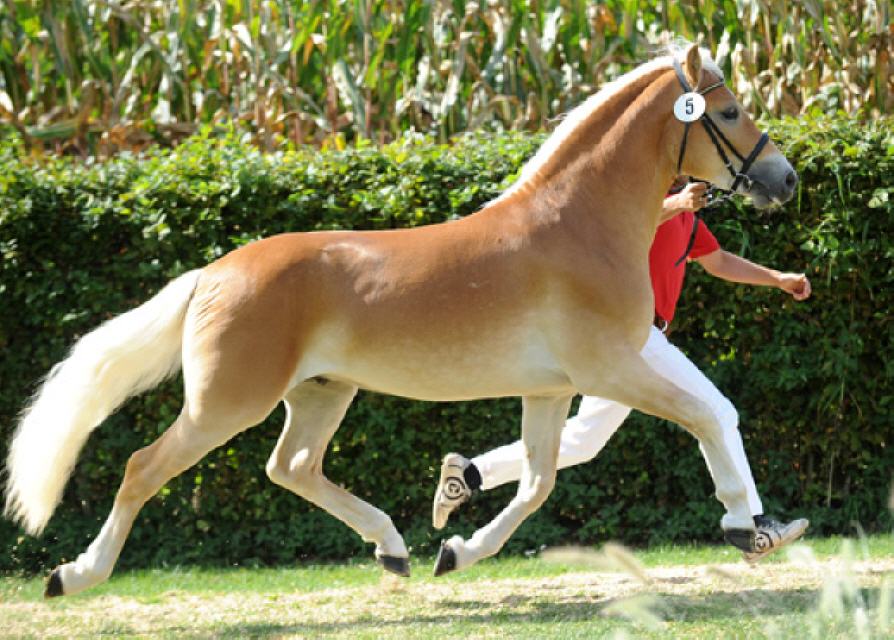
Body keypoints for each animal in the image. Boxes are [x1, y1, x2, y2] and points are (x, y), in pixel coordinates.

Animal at [5, 43, 796, 597]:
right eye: (729, 112)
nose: (783, 179)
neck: (577, 227)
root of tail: (215, 273)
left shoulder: (549, 389)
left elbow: (537, 482)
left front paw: (456, 549)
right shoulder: (613, 369)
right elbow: (703, 416)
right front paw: (747, 528)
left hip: (321, 392)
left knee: (291, 465)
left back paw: (392, 548)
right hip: (225, 404)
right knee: (144, 468)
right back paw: (72, 574)